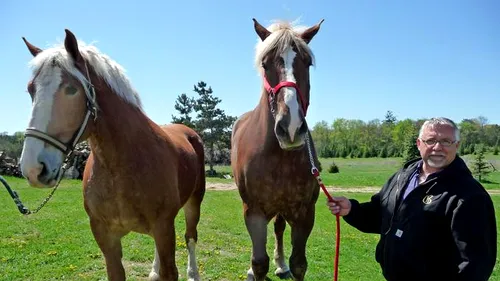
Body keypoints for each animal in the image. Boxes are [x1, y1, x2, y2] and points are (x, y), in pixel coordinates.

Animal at [17, 29, 205, 278]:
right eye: (31, 89)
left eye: (71, 89)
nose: (33, 168)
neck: (120, 167)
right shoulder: (106, 237)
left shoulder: (164, 227)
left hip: (194, 202)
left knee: (191, 237)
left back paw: (193, 273)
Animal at [230, 18, 324, 278]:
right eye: (265, 64)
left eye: (307, 62)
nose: (291, 127)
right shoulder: (253, 212)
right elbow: (259, 262)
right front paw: (254, 270)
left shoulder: (305, 213)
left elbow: (299, 263)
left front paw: (284, 263)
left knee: (279, 228)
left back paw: (280, 263)